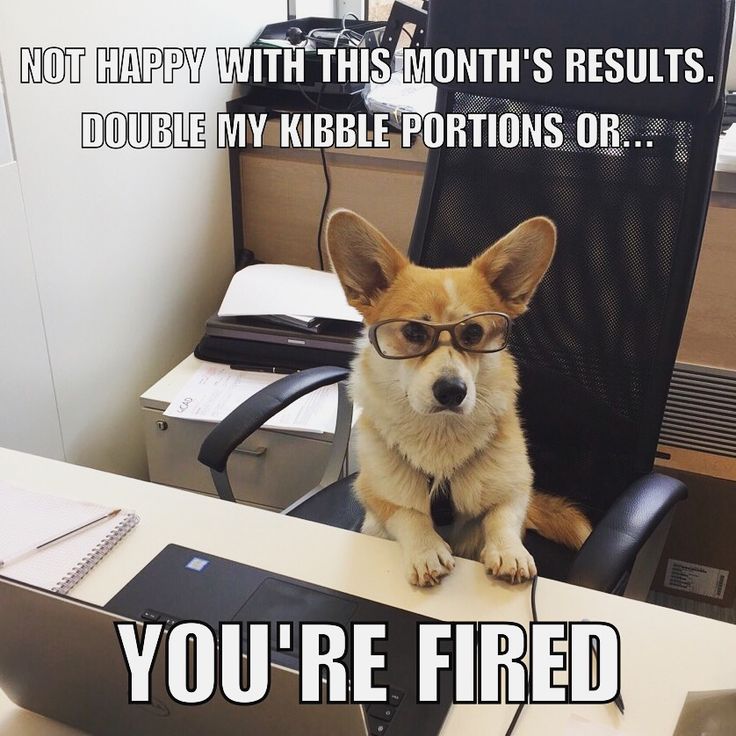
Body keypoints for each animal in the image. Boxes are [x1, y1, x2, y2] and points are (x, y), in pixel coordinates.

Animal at [328, 211, 592, 588]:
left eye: (473, 333)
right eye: (413, 332)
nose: (452, 391)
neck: (441, 434)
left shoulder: (515, 488)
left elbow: (502, 517)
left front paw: (508, 552)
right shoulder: (375, 494)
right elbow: (409, 514)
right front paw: (426, 551)